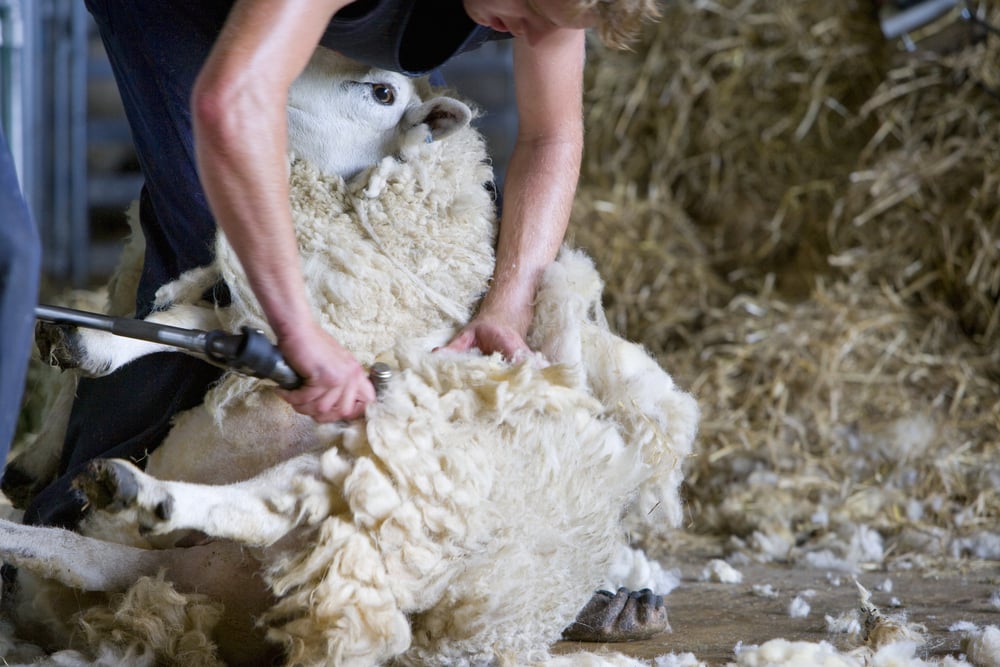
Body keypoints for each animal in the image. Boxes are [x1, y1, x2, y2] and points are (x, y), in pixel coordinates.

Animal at [3, 47, 700, 667]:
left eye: (383, 93)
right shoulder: (267, 320)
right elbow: (175, 321)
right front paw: (90, 342)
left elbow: (190, 326)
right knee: (91, 559)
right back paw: (30, 528)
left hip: (395, 474)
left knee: (272, 505)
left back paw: (143, 493)